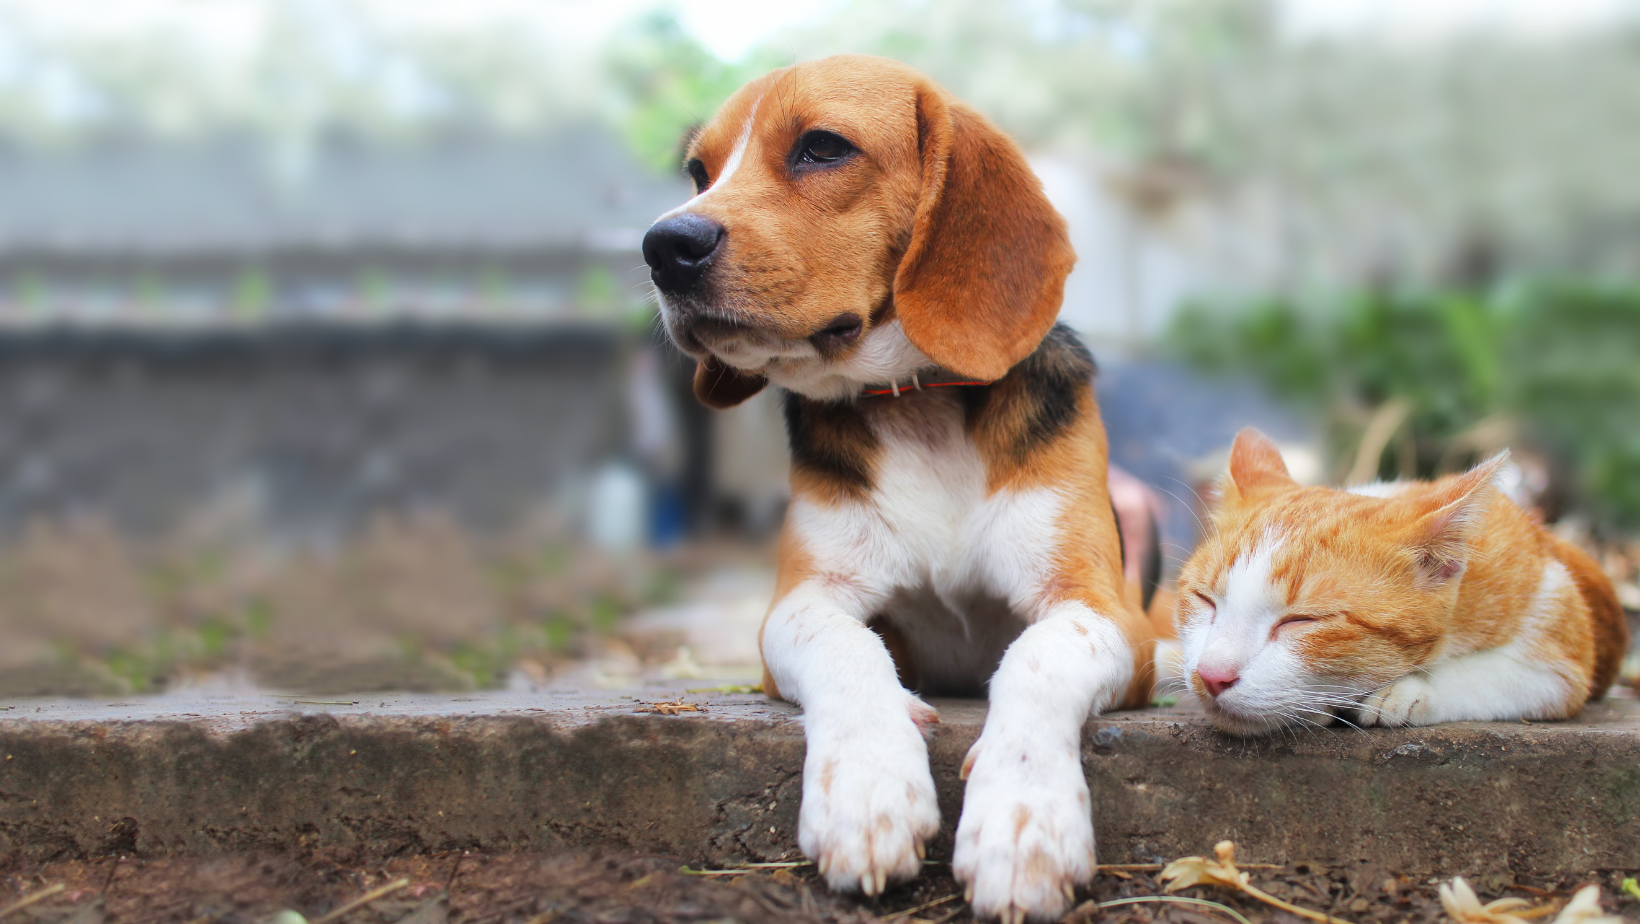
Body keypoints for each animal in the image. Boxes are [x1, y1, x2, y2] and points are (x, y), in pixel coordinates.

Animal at [639, 57, 1167, 924]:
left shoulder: (1103, 610)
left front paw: (1023, 821)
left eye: (822, 147)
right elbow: (848, 649)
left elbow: (1038, 657)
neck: (917, 403)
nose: (662, 245)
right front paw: (866, 790)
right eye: (698, 172)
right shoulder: (801, 603)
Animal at [1180, 429, 1626, 738]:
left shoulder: (1562, 646)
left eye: (1301, 621)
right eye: (1204, 600)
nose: (1211, 675)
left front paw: (1405, 692)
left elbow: (1496, 674)